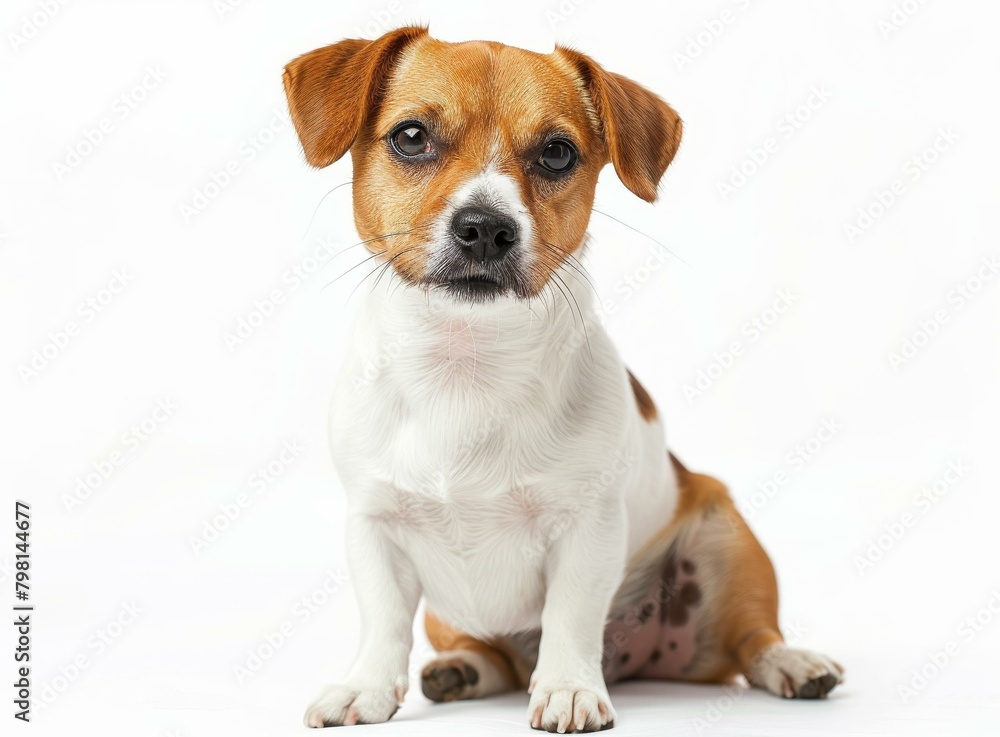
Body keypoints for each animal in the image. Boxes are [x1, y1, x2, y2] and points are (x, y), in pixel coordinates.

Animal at [282, 27, 844, 732]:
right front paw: (367, 687)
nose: (485, 227)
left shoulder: (587, 529)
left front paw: (569, 688)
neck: (465, 365)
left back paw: (791, 662)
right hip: (449, 619)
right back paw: (461, 669)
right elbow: (383, 619)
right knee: (485, 652)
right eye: (411, 136)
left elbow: (570, 615)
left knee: (751, 638)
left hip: (726, 540)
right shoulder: (373, 524)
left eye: (556, 153)